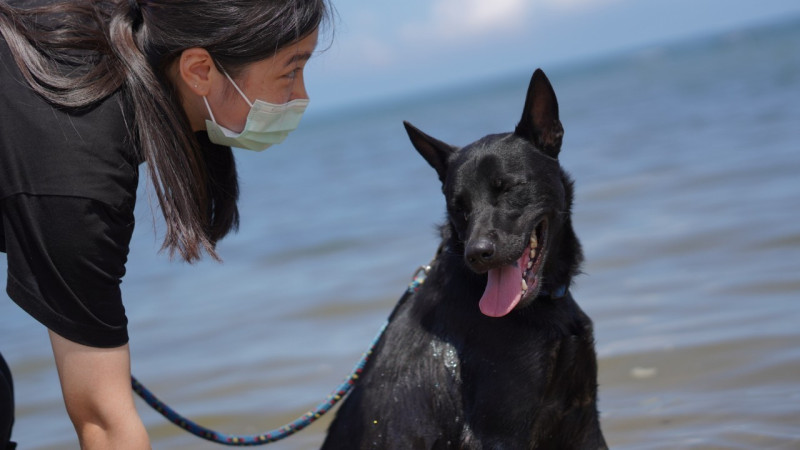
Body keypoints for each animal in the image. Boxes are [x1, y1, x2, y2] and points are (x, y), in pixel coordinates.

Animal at [324, 69, 608, 450]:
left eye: (508, 187)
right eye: (458, 205)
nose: (478, 254)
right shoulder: (497, 434)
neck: (542, 308)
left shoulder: (583, 420)